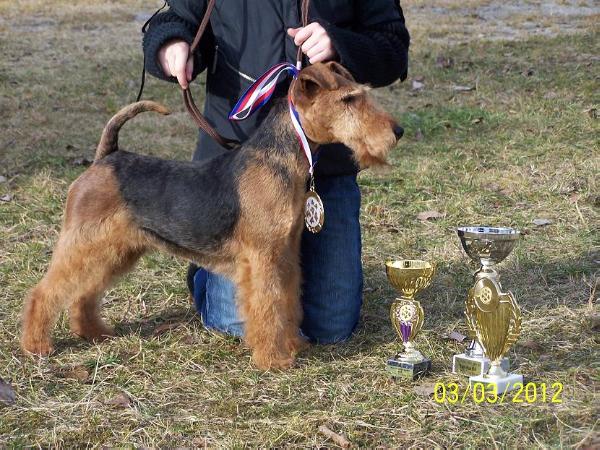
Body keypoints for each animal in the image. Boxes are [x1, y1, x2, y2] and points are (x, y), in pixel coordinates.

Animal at [21, 60, 404, 370]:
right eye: (349, 99)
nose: (397, 131)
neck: (281, 159)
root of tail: (105, 157)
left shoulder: (285, 253)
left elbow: (287, 300)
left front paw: (293, 343)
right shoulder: (263, 258)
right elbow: (268, 305)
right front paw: (273, 359)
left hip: (115, 250)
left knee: (83, 293)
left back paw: (94, 333)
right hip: (86, 244)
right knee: (45, 292)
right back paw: (36, 345)